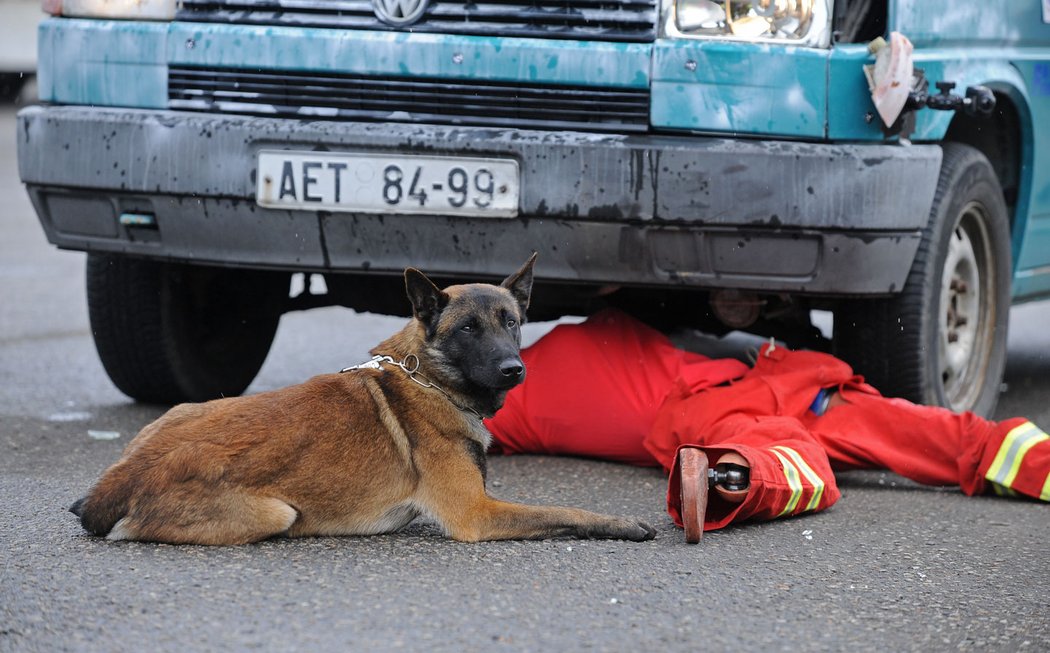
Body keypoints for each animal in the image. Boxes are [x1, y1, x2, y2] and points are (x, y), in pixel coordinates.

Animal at [69, 256, 655, 545]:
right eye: (468, 329)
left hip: (187, 408)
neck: (429, 378)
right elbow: (564, 510)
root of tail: (116, 482)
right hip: (275, 511)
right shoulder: (478, 515)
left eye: (511, 323)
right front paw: (623, 524)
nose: (516, 369)